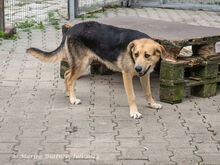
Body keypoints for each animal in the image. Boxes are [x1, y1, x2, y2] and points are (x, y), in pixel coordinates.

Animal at [26, 21, 165, 118]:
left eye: (147, 55)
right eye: (136, 54)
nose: (138, 68)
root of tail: (71, 29)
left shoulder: (145, 75)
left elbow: (148, 92)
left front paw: (152, 104)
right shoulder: (127, 75)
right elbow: (132, 96)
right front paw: (134, 112)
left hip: (82, 63)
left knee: (66, 74)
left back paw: (69, 93)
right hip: (82, 64)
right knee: (70, 79)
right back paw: (73, 99)